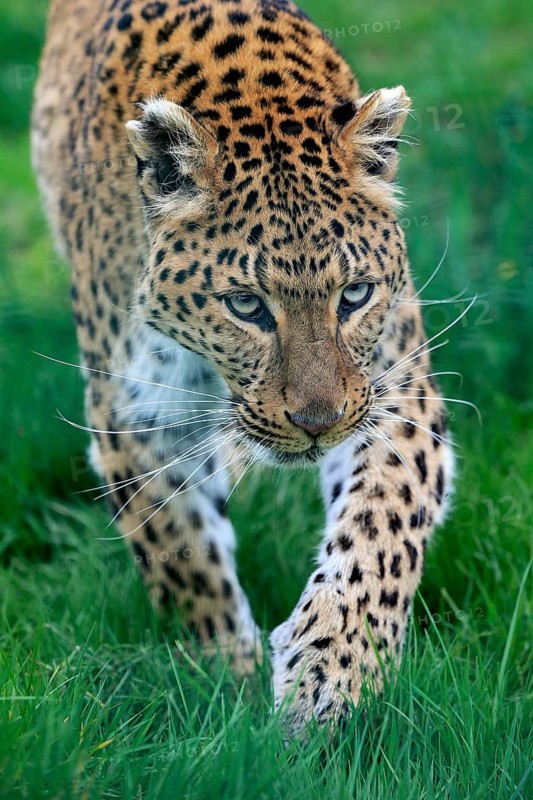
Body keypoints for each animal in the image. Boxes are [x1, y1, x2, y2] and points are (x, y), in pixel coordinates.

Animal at [32, 0, 455, 733]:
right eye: (245, 305)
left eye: (354, 295)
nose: (317, 424)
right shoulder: (136, 416)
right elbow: (184, 555)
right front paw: (227, 684)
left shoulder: (394, 393)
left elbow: (379, 529)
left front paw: (330, 674)